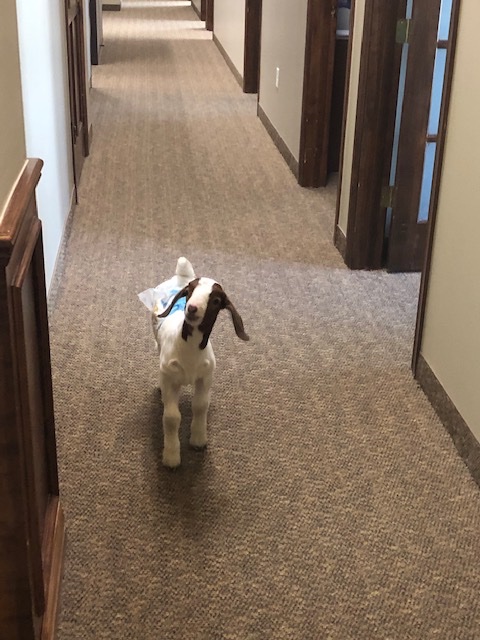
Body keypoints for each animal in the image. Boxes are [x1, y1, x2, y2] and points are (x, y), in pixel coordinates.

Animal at [139, 257, 249, 468]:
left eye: (216, 300)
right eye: (189, 291)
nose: (191, 308)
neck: (188, 348)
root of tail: (183, 274)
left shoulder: (205, 377)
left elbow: (200, 405)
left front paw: (198, 440)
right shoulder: (170, 378)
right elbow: (172, 417)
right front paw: (171, 457)